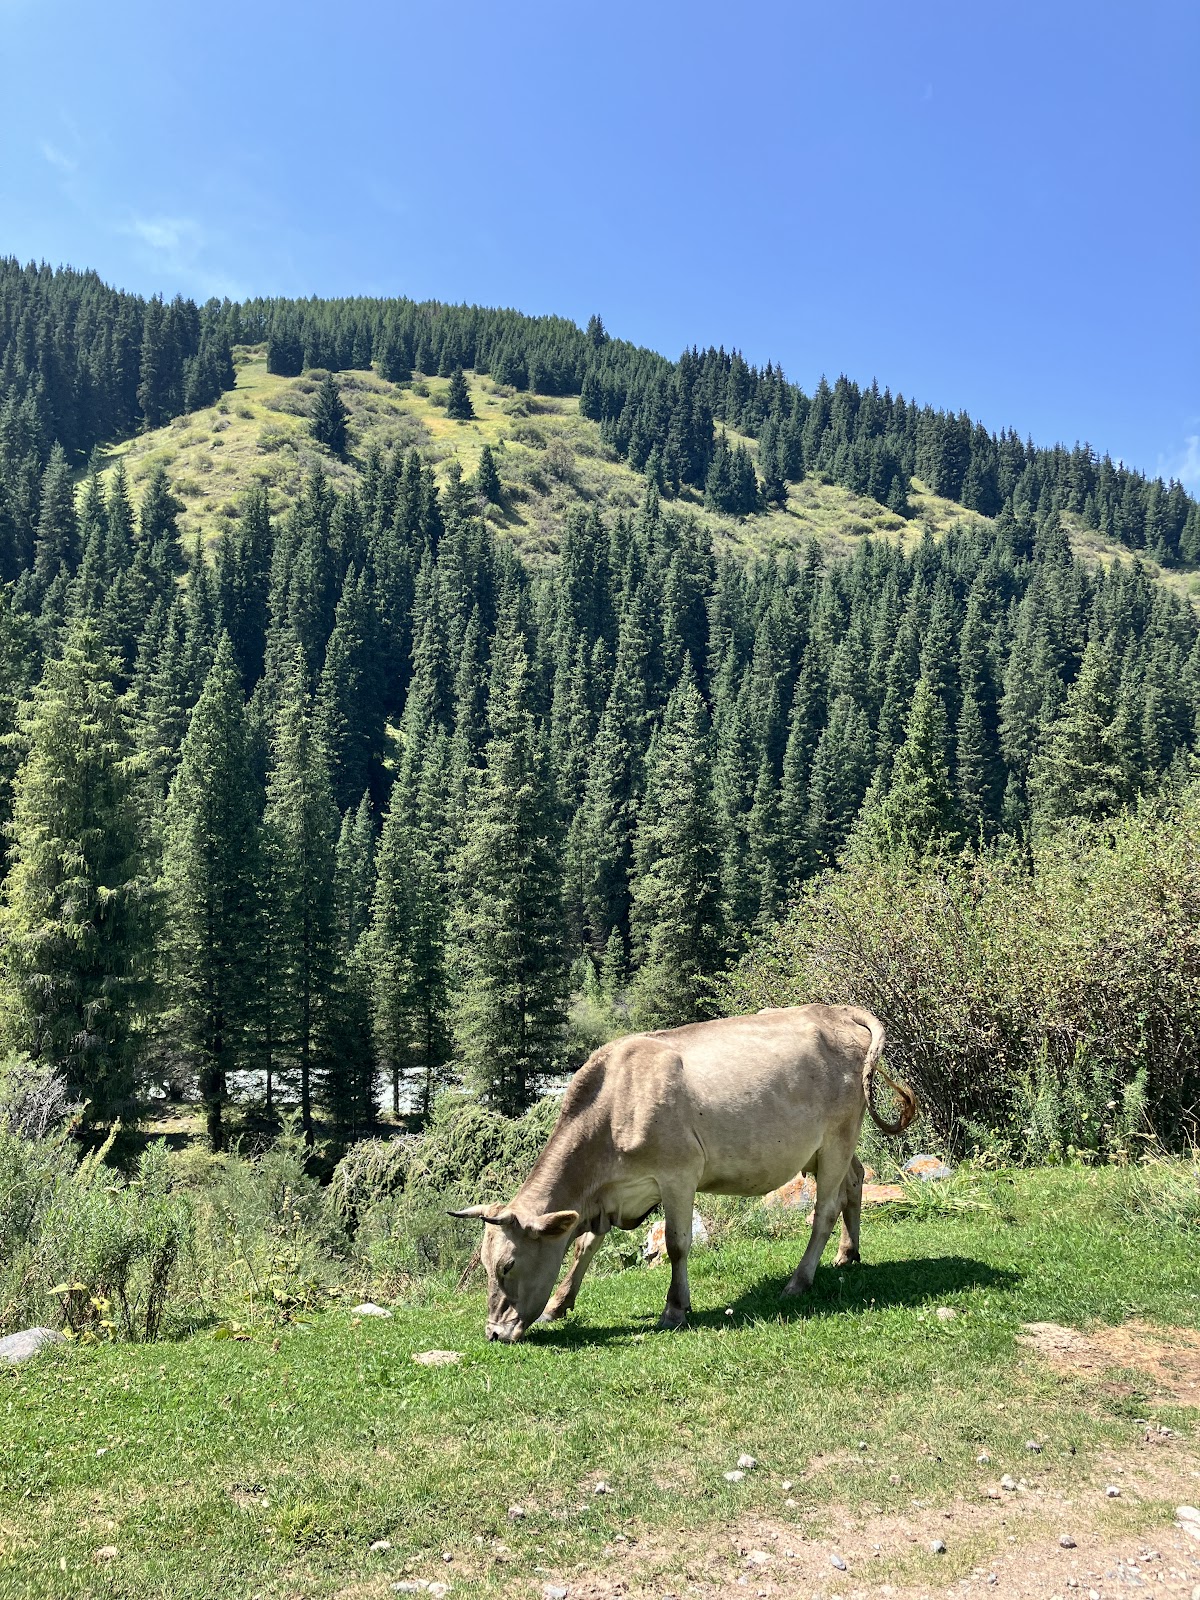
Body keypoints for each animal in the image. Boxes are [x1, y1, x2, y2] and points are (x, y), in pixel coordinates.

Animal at [450, 1003, 917, 1343]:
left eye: (507, 1266)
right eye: (486, 1263)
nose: (494, 1333)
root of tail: (835, 1010)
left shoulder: (677, 1176)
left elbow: (676, 1245)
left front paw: (674, 1309)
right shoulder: (610, 1195)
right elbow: (584, 1246)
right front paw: (557, 1306)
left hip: (839, 1134)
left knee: (824, 1211)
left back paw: (799, 1281)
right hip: (829, 1148)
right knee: (854, 1181)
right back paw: (847, 1254)